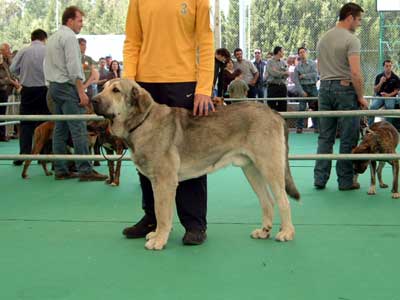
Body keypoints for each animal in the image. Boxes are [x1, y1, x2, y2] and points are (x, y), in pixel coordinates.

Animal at [92, 78, 300, 250]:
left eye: (116, 90)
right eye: (103, 88)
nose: (93, 100)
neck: (142, 121)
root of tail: (274, 113)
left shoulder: (165, 182)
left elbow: (162, 213)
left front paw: (159, 240)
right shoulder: (156, 182)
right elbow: (159, 212)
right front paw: (156, 234)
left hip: (270, 167)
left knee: (283, 200)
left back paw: (287, 232)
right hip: (251, 169)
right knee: (267, 201)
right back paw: (264, 231)